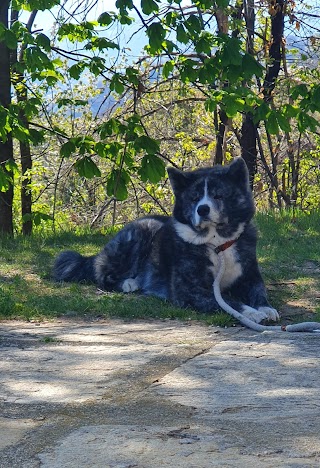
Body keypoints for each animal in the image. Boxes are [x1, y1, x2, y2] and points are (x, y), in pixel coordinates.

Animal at [53, 159, 278, 324]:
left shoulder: (249, 277)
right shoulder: (192, 291)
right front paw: (253, 313)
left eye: (218, 195)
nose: (202, 209)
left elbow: (259, 292)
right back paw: (129, 283)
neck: (217, 244)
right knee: (104, 275)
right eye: (194, 198)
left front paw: (266, 308)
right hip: (144, 229)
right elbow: (231, 303)